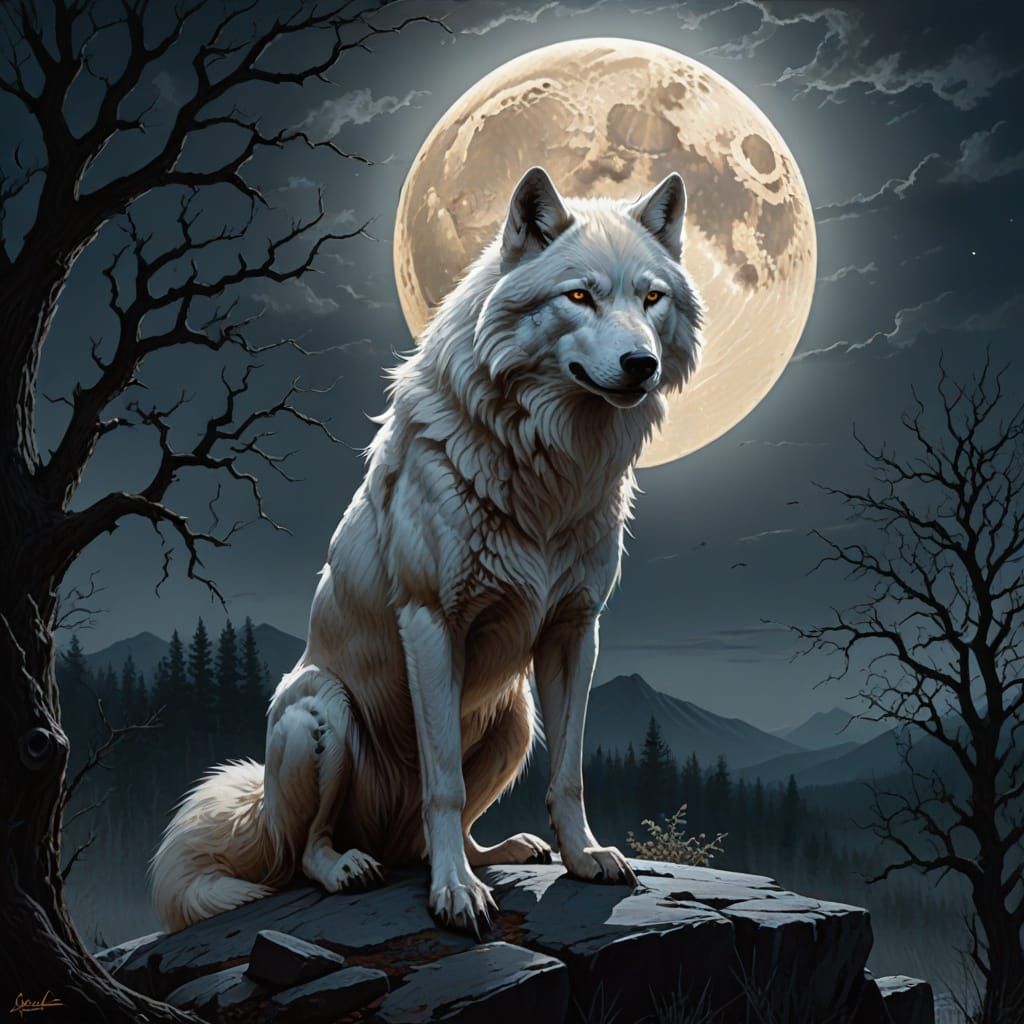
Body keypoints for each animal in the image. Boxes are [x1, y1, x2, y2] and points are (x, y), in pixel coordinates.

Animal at [150, 166, 703, 935]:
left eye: (651, 297)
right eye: (580, 296)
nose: (640, 363)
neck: (549, 465)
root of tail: (258, 813)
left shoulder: (574, 629)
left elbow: (568, 773)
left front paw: (584, 856)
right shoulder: (431, 621)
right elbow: (441, 781)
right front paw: (454, 895)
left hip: (514, 718)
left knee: (437, 829)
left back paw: (499, 851)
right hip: (321, 712)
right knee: (311, 850)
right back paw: (353, 867)